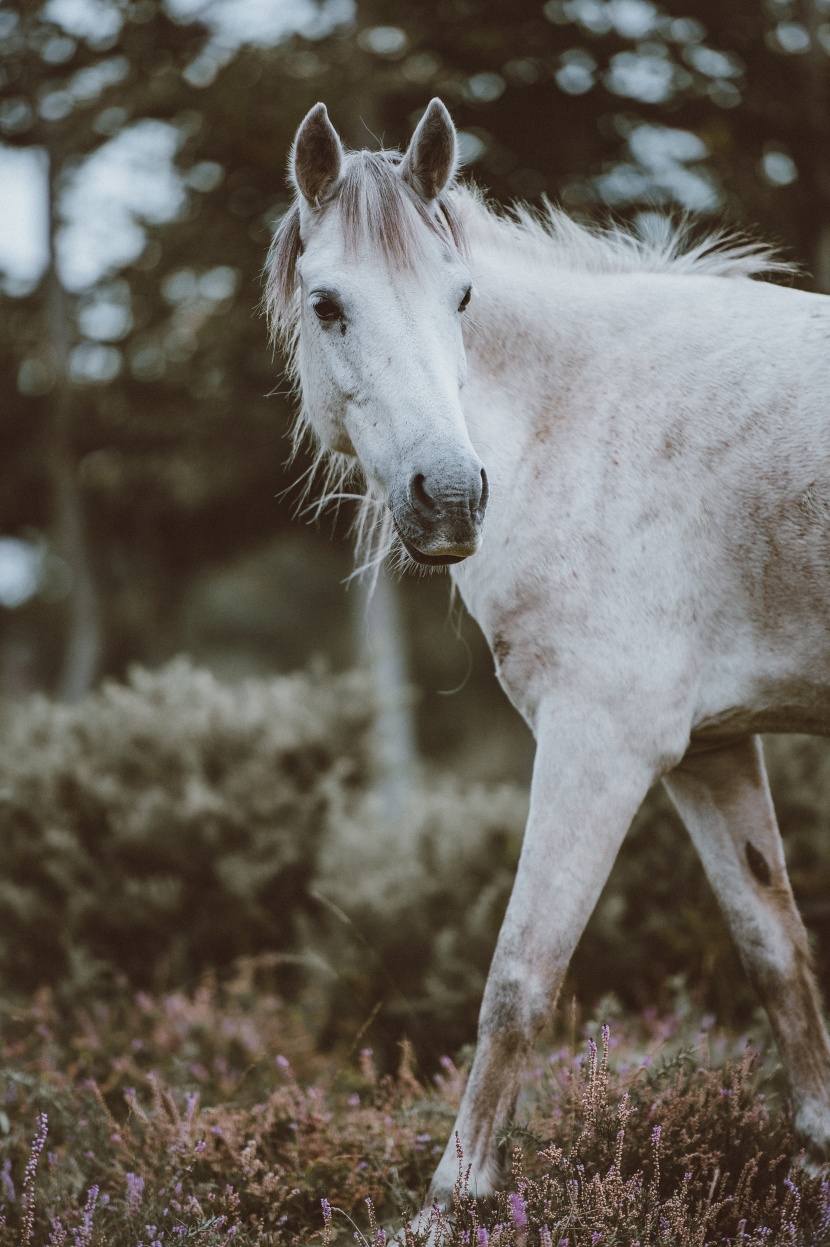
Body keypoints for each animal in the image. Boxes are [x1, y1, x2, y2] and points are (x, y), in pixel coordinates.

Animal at [266, 99, 830, 1207]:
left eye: (460, 296)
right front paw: (815, 1163)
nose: (449, 495)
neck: (577, 418)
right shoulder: (708, 750)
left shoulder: (598, 742)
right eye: (328, 304)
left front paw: (451, 1201)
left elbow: (519, 978)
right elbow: (774, 948)